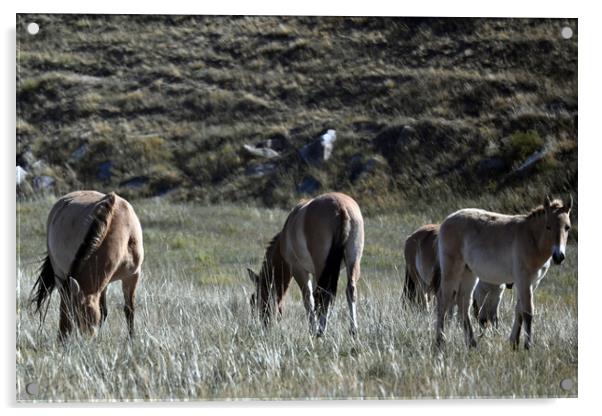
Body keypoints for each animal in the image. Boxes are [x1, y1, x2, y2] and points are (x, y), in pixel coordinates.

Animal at [29, 190, 144, 340]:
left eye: (78, 315)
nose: (62, 338)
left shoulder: (132, 276)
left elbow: (128, 309)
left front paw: (131, 339)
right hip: (59, 274)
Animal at [246, 193, 364, 336]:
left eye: (255, 300)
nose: (264, 326)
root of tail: (340, 207)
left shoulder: (299, 270)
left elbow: (308, 299)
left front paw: (313, 328)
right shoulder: (315, 274)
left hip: (321, 266)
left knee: (324, 294)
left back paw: (321, 331)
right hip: (352, 262)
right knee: (349, 290)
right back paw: (352, 330)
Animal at [434, 197, 568, 350]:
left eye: (567, 227)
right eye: (548, 226)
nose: (559, 256)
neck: (531, 238)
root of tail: (446, 220)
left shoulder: (533, 282)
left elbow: (519, 310)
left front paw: (514, 343)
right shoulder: (524, 280)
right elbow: (528, 311)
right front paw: (528, 346)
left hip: (469, 273)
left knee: (463, 303)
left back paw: (472, 343)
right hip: (451, 271)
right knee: (443, 301)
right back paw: (440, 342)